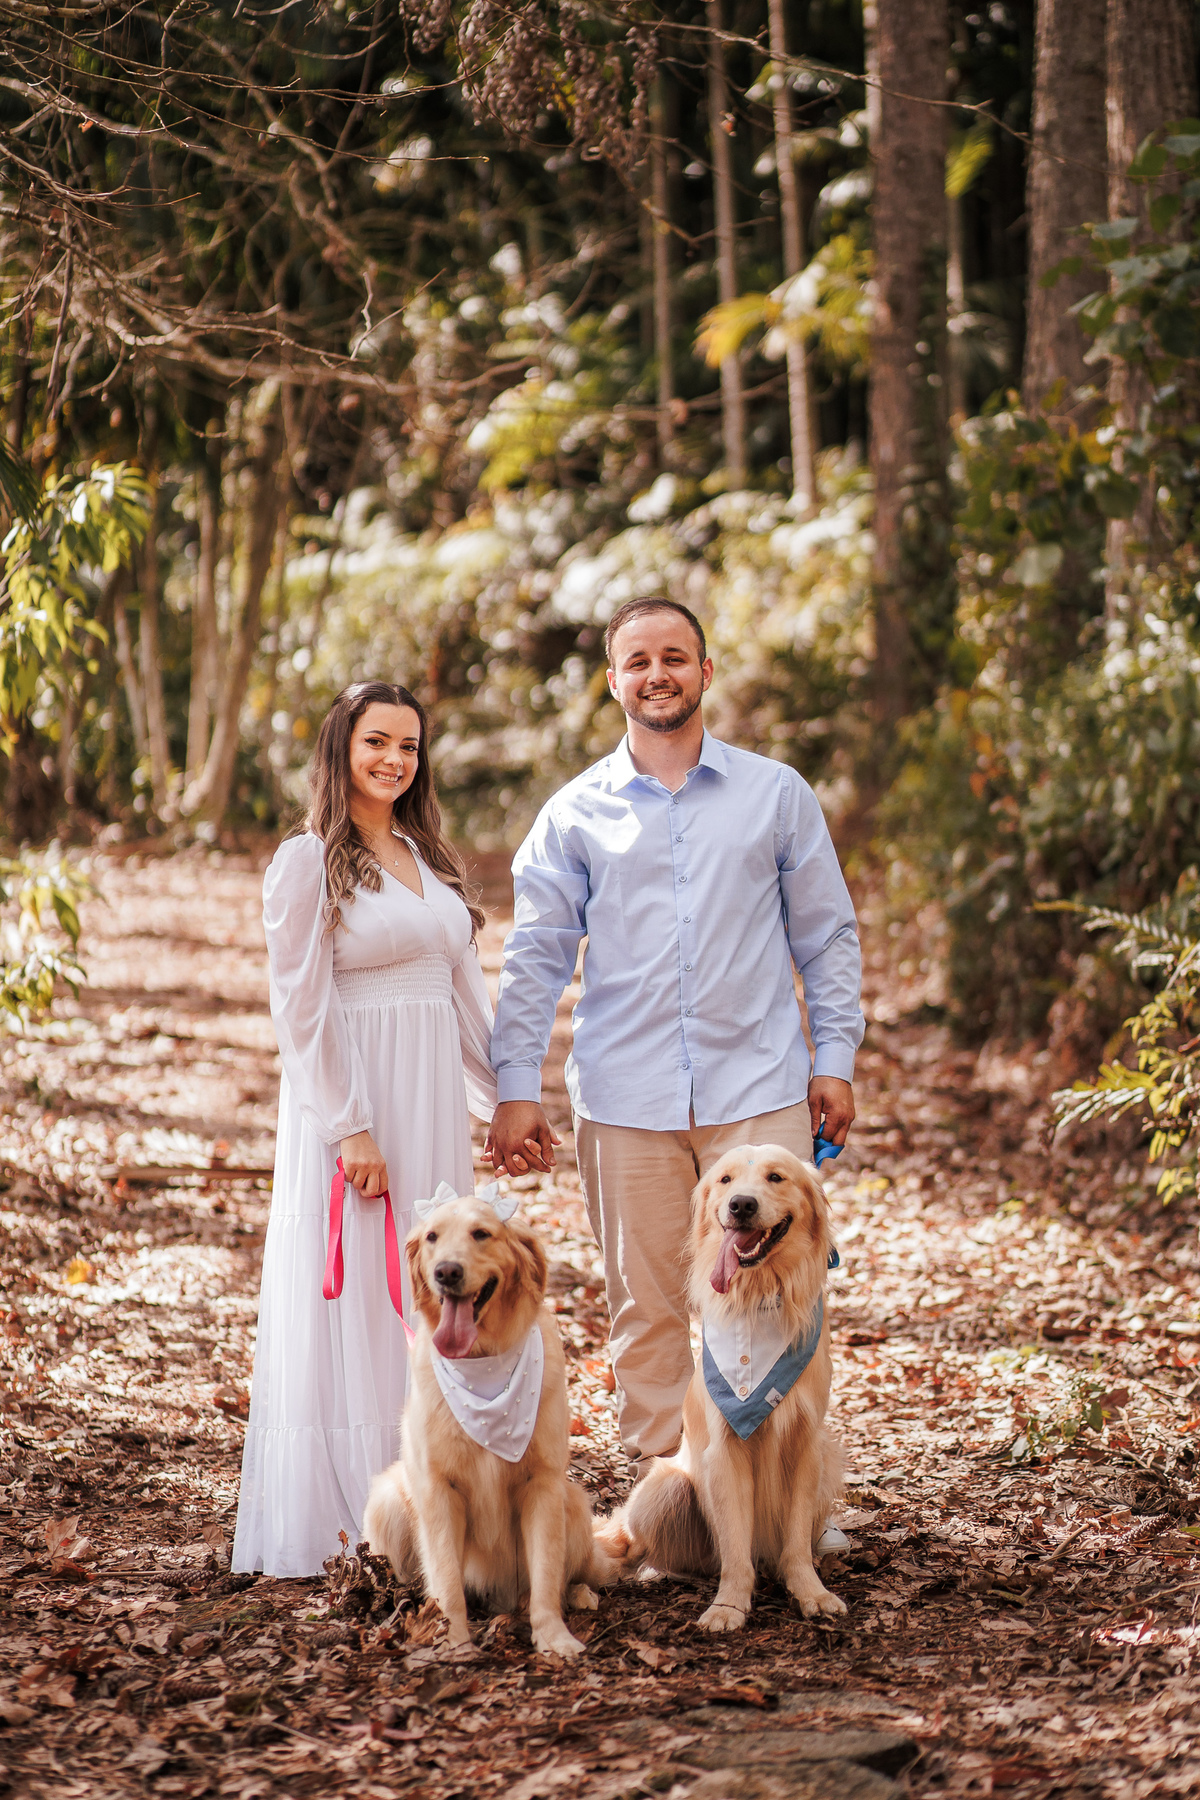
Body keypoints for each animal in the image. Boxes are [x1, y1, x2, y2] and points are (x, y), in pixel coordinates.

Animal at [363, 1186, 614, 1657]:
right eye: (432, 1237)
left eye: (481, 1233)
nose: (446, 1272)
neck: (483, 1361)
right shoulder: (438, 1488)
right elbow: (446, 1577)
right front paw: (453, 1640)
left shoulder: (543, 1483)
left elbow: (546, 1571)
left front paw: (553, 1636)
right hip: (387, 1499)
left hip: (573, 1502)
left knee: (571, 1572)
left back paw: (578, 1594)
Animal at [595, 1143, 845, 1631]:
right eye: (726, 1180)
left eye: (775, 1177)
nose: (741, 1205)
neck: (758, 1297)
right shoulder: (726, 1446)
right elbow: (733, 1544)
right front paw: (728, 1605)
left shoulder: (807, 1445)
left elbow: (795, 1542)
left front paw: (810, 1591)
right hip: (665, 1487)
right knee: (637, 1547)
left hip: (828, 1463)